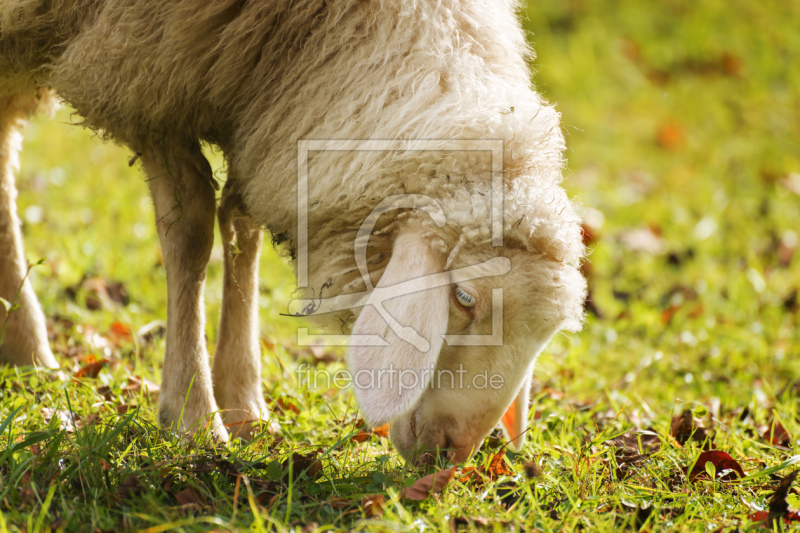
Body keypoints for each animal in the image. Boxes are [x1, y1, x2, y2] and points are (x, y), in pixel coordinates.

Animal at [0, 0, 588, 464]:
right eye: (464, 297)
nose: (452, 453)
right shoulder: (145, 72)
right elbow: (191, 233)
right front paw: (195, 419)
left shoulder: (263, 105)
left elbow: (243, 228)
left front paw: (245, 407)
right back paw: (31, 347)